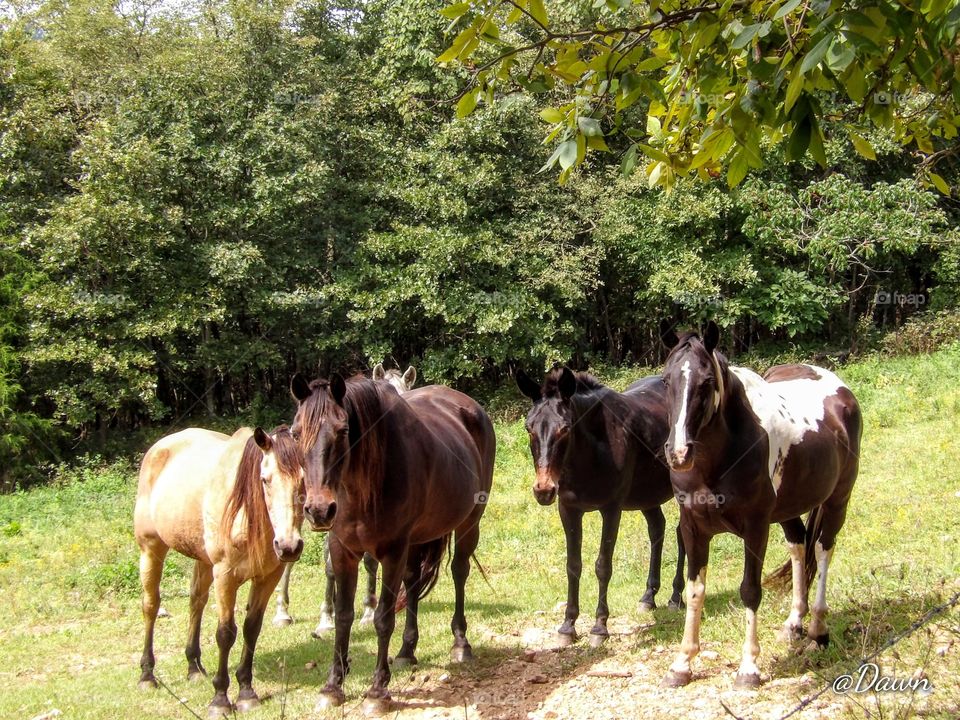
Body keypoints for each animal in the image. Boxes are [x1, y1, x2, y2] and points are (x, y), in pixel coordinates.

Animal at [134, 426, 305, 715]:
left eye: (303, 480)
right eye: (265, 480)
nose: (289, 546)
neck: (246, 513)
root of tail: (161, 446)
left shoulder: (268, 577)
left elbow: (251, 628)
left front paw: (246, 692)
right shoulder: (225, 575)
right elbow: (226, 634)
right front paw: (221, 699)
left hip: (202, 559)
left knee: (196, 602)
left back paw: (193, 667)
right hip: (151, 548)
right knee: (150, 606)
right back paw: (147, 675)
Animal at [289, 372, 495, 714]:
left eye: (343, 431)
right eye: (295, 433)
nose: (319, 509)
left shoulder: (392, 551)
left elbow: (383, 618)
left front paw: (377, 691)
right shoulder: (343, 551)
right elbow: (343, 616)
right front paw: (333, 686)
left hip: (469, 523)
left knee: (459, 572)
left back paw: (460, 643)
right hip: (418, 539)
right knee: (412, 583)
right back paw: (406, 651)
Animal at [516, 366, 686, 648]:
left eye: (565, 429)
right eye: (529, 428)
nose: (544, 489)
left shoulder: (611, 509)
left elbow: (602, 566)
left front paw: (599, 627)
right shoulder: (569, 510)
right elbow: (573, 565)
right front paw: (568, 626)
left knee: (683, 535)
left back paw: (676, 596)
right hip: (647, 496)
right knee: (657, 530)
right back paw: (648, 596)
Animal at [658, 320, 862, 689]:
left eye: (706, 382)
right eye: (666, 380)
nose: (679, 453)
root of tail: (841, 392)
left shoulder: (755, 527)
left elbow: (750, 590)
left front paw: (749, 669)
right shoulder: (693, 528)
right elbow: (695, 592)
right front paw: (681, 665)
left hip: (838, 500)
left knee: (823, 549)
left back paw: (818, 631)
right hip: (789, 511)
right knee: (799, 546)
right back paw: (795, 623)